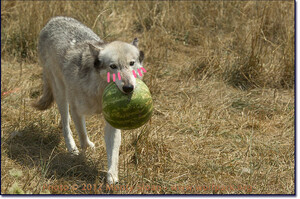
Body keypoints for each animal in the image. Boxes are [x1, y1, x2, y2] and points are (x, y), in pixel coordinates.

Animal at [32, 16, 145, 184]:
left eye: (131, 63)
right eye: (113, 66)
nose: (128, 88)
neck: (99, 91)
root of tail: (53, 20)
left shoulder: (113, 121)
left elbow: (113, 152)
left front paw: (112, 176)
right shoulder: (76, 111)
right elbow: (83, 138)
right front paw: (82, 156)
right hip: (61, 95)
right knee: (65, 124)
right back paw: (72, 148)